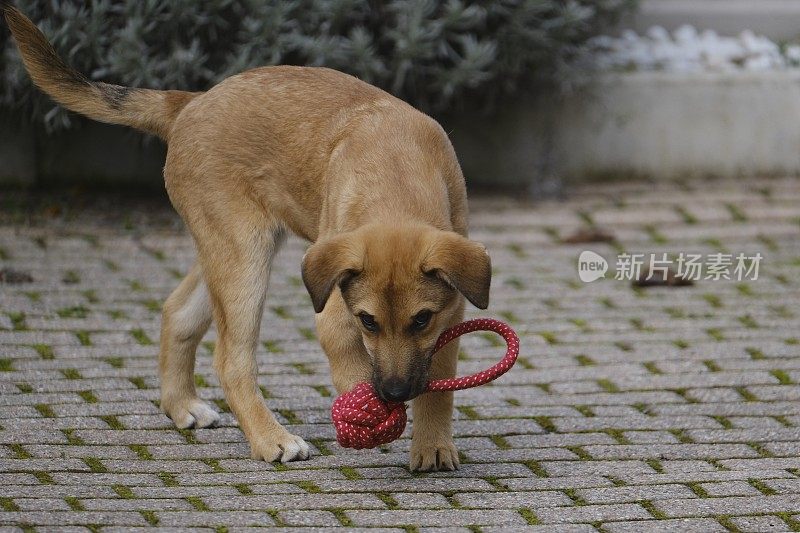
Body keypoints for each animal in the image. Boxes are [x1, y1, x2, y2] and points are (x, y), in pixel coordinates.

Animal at [6, 7, 490, 470]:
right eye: (367, 321)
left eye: (421, 320)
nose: (394, 393)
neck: (396, 174)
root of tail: (190, 102)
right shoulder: (335, 317)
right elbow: (355, 373)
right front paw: (372, 420)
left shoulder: (451, 312)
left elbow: (439, 387)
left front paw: (432, 445)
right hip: (244, 258)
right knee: (231, 360)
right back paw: (270, 439)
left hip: (223, 252)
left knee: (178, 313)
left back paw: (182, 405)